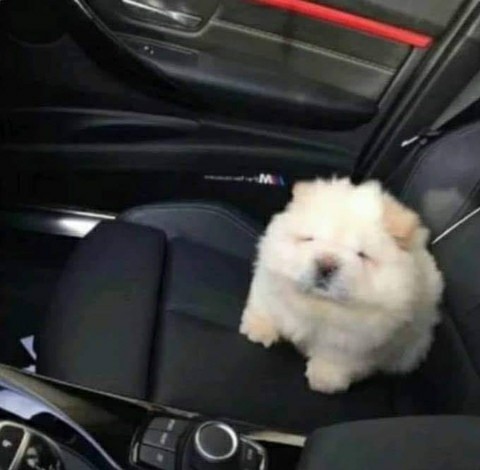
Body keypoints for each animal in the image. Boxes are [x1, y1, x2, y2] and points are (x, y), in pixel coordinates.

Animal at [240, 178, 443, 394]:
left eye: (362, 255)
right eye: (309, 239)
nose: (326, 264)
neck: (318, 305)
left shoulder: (358, 341)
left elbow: (336, 357)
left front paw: (324, 379)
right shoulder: (269, 282)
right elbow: (265, 306)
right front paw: (259, 330)